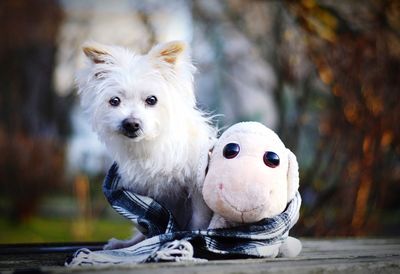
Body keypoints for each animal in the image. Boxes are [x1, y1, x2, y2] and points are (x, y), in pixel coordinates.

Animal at [76, 41, 217, 250]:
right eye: (114, 101)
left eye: (152, 100)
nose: (131, 123)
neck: (150, 145)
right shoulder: (149, 194)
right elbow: (148, 223)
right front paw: (135, 244)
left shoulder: (197, 190)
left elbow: (198, 219)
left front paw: (193, 237)